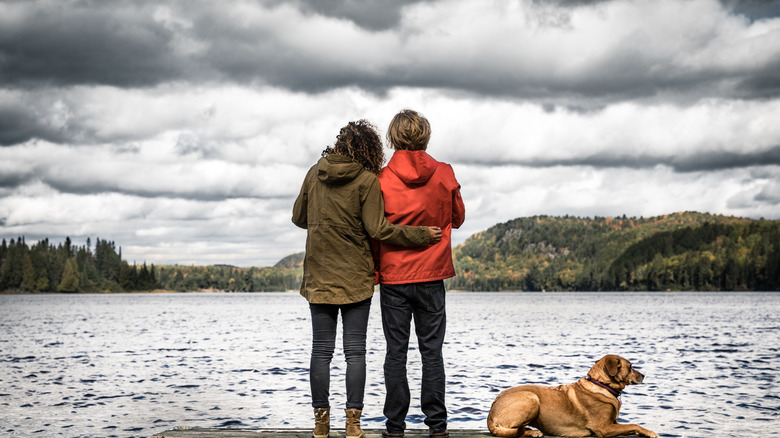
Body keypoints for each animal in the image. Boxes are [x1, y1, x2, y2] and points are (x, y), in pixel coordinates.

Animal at [488, 354, 660, 436]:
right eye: (630, 367)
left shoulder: (613, 423)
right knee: (513, 432)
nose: (643, 375)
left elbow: (630, 427)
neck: (601, 384)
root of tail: (491, 412)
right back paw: (532, 432)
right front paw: (651, 433)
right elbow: (634, 425)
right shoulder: (603, 428)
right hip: (532, 398)